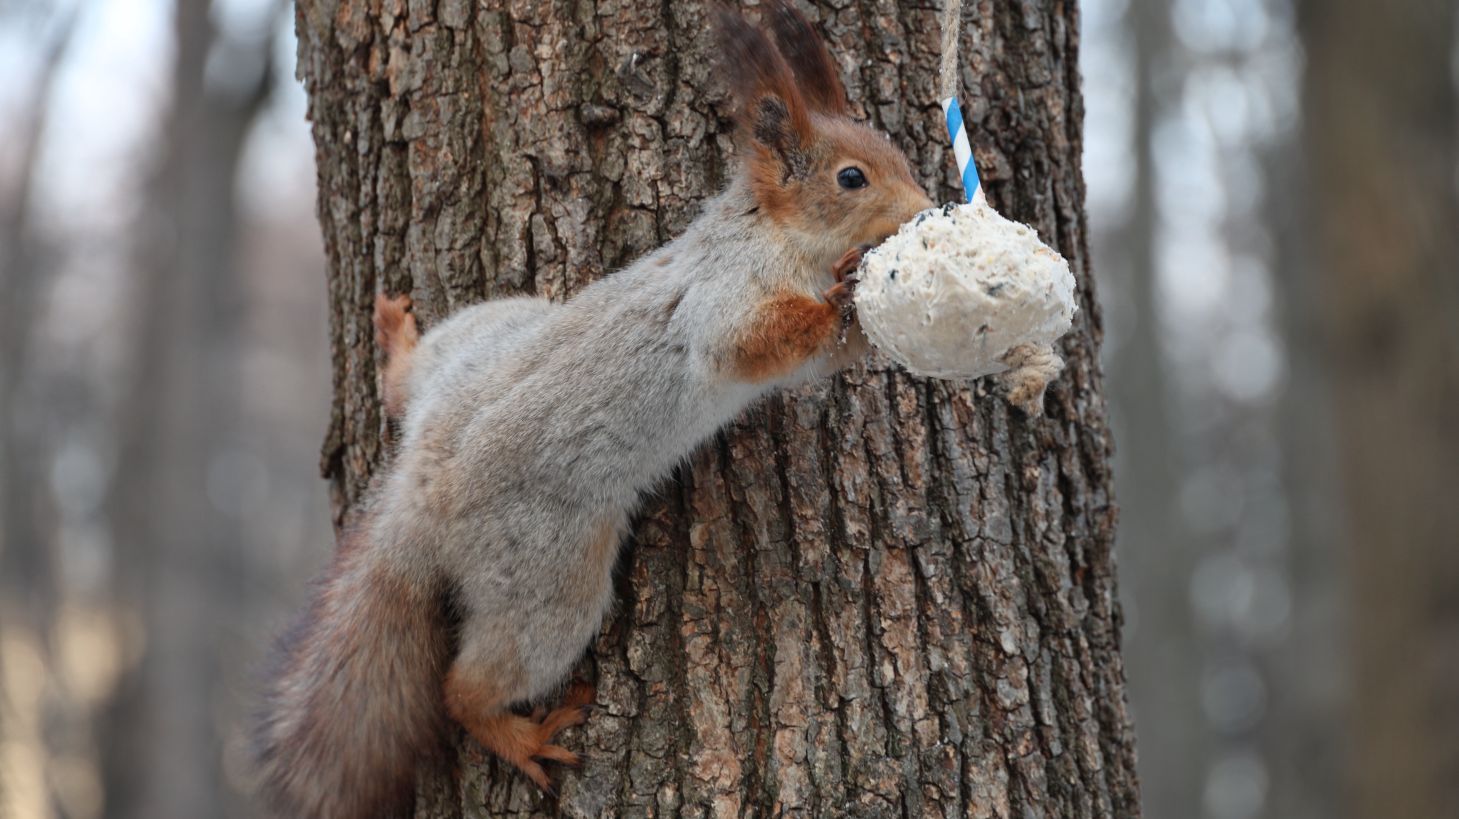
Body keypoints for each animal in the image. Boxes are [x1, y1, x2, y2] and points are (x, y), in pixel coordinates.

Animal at [254, 3, 932, 817]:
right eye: (851, 177)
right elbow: (745, 344)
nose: (926, 209)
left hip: (487, 330)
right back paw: (519, 735)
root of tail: (416, 496)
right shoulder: (724, 298)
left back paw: (395, 346)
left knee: (408, 385)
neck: (771, 232)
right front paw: (840, 292)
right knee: (466, 688)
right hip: (549, 576)